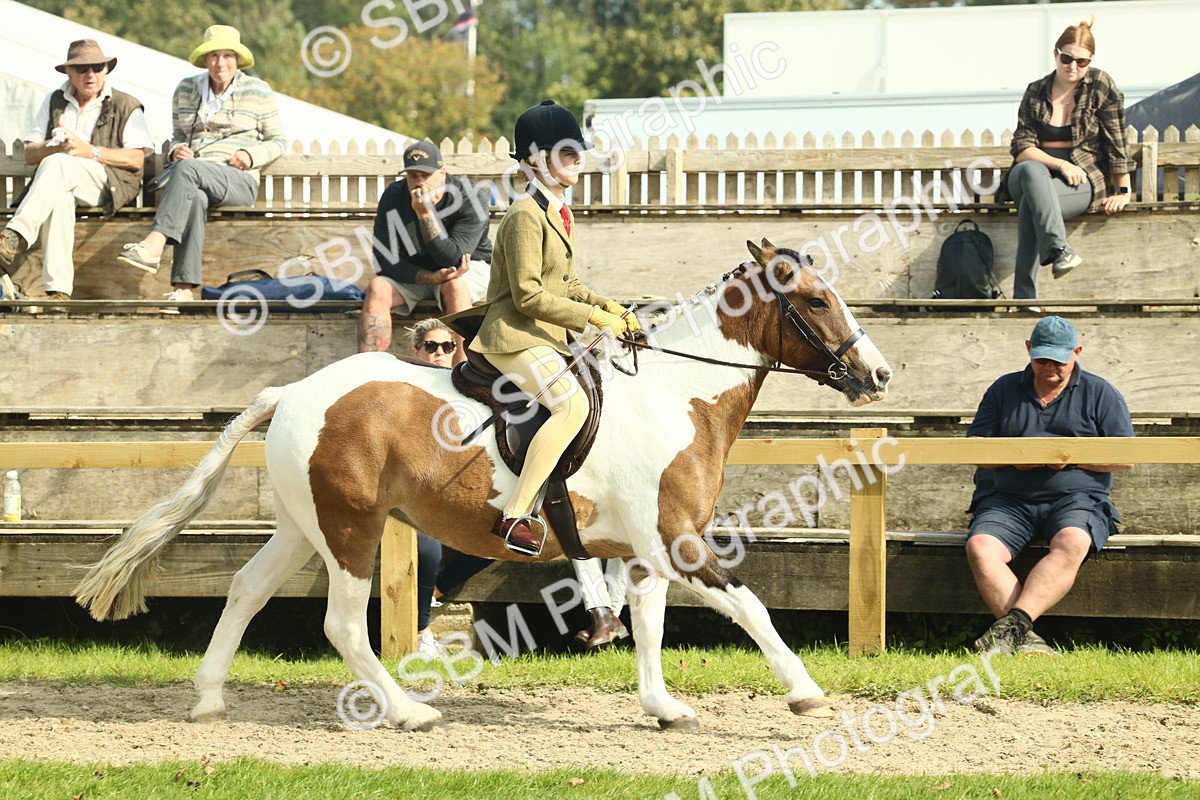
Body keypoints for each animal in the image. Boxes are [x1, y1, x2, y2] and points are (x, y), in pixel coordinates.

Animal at [75, 238, 893, 732]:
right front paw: (804, 689)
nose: (879, 374)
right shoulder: (678, 542)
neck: (675, 393)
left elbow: (653, 621)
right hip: (351, 530)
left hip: (305, 526)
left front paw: (664, 706)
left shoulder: (649, 548)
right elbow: (750, 606)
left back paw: (209, 699)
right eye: (816, 301)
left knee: (246, 590)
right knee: (342, 625)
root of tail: (295, 392)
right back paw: (408, 712)